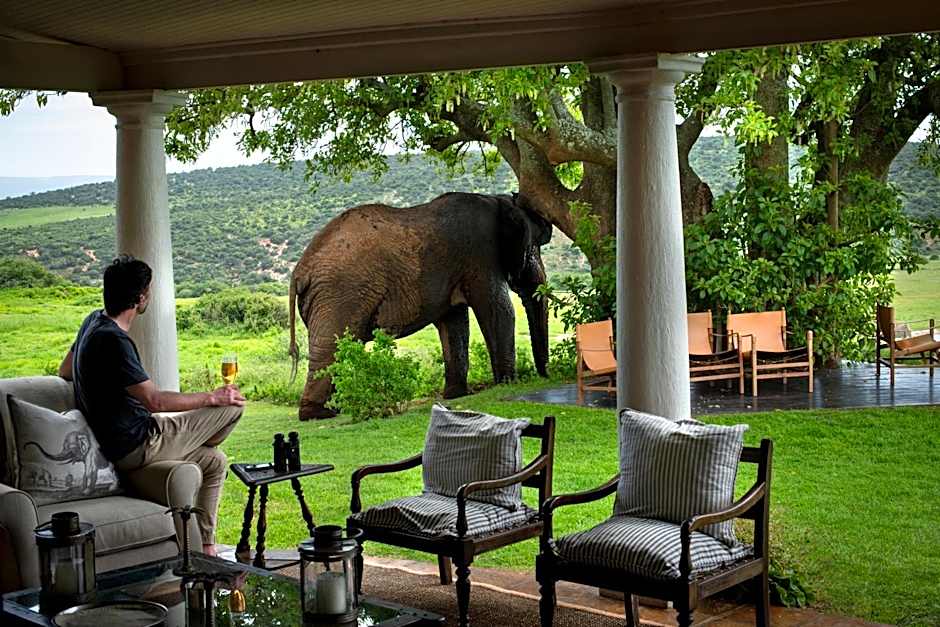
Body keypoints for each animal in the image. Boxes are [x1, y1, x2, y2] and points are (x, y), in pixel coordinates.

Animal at [288, 192, 552, 420]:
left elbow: (454, 324)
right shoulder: (481, 255)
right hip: (340, 295)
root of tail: (299, 272)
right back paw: (320, 414)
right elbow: (499, 311)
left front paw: (454, 395)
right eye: (534, 248)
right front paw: (507, 383)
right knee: (332, 346)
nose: (545, 375)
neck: (498, 200)